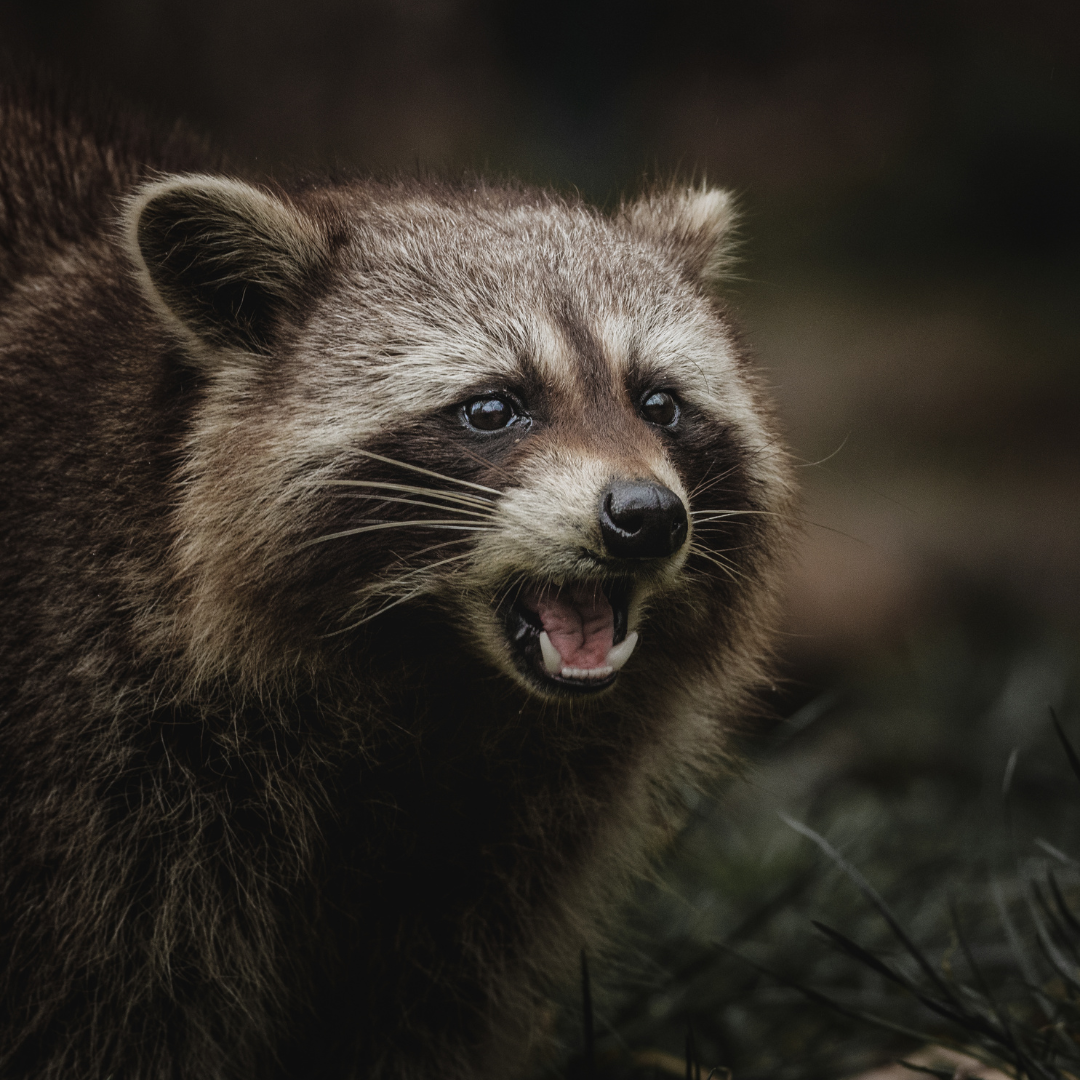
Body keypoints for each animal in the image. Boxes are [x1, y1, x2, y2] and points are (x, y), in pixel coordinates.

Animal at [0, 78, 794, 1080]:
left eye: (659, 402)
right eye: (493, 408)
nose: (648, 517)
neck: (428, 682)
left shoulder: (499, 833)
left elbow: (421, 1006)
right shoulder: (96, 762)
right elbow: (111, 1006)